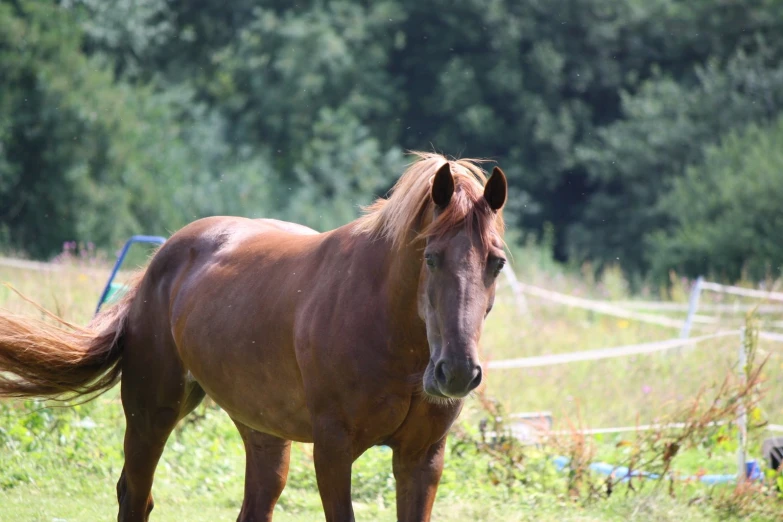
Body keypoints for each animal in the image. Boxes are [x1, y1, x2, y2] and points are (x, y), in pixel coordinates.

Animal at [0, 151, 508, 520]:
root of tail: (157, 264)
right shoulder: (333, 451)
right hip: (151, 413)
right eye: (430, 257)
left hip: (263, 434)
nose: (456, 372)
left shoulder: (422, 458)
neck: (389, 329)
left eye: (497, 262)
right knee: (134, 495)